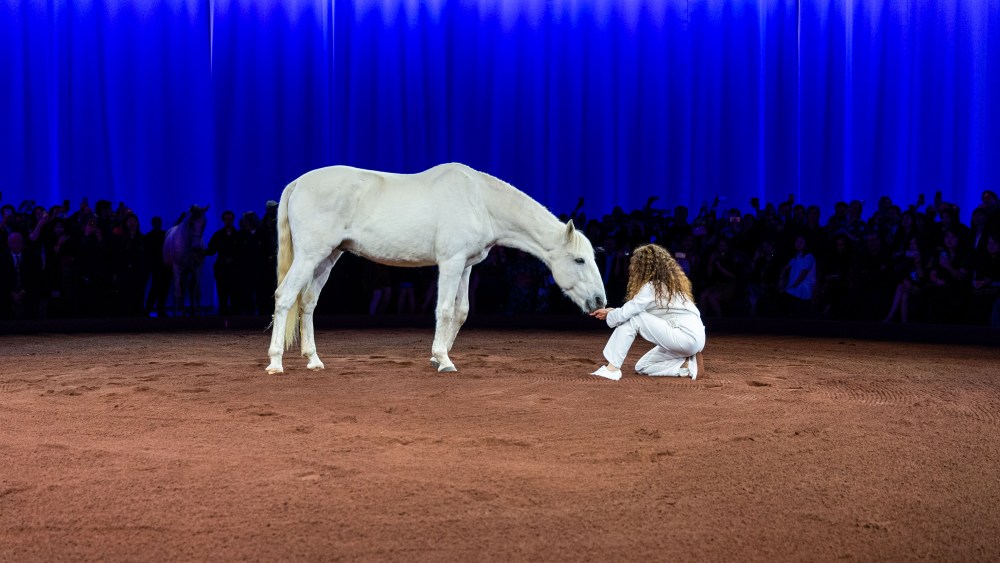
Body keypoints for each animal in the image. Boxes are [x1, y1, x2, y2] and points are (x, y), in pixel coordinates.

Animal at [265, 162, 607, 375]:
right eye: (579, 260)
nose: (599, 301)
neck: (479, 200)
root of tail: (296, 184)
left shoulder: (466, 266)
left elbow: (461, 311)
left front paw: (437, 355)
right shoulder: (450, 263)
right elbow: (443, 310)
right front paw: (443, 360)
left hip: (327, 258)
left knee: (308, 304)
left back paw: (313, 360)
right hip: (310, 256)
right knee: (284, 297)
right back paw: (275, 363)